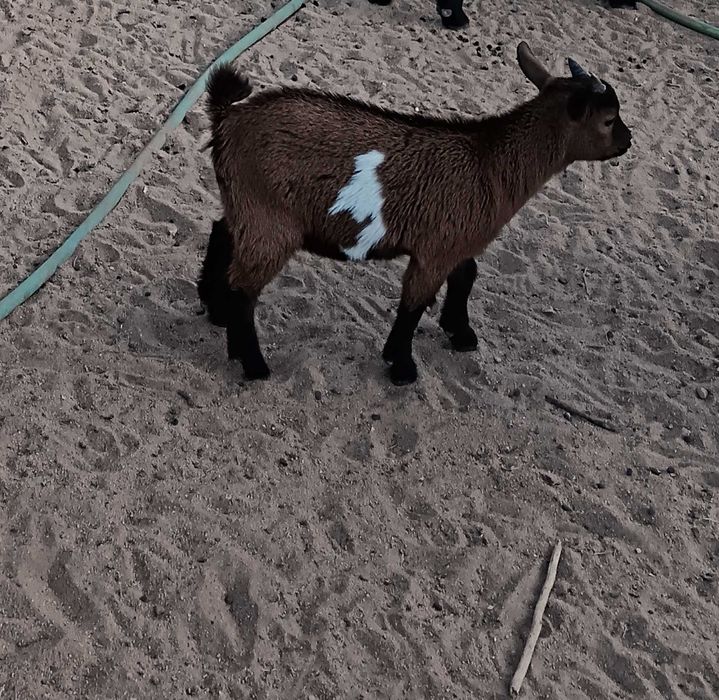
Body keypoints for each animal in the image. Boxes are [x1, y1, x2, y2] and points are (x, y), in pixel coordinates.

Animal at [198, 42, 632, 385]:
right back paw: (253, 363)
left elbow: (466, 276)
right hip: (270, 217)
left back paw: (215, 311)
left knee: (221, 234)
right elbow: (414, 304)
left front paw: (460, 333)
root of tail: (228, 116)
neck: (488, 163)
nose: (628, 140)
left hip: (245, 204)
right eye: (608, 119)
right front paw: (402, 365)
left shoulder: (458, 239)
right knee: (244, 287)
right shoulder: (435, 249)